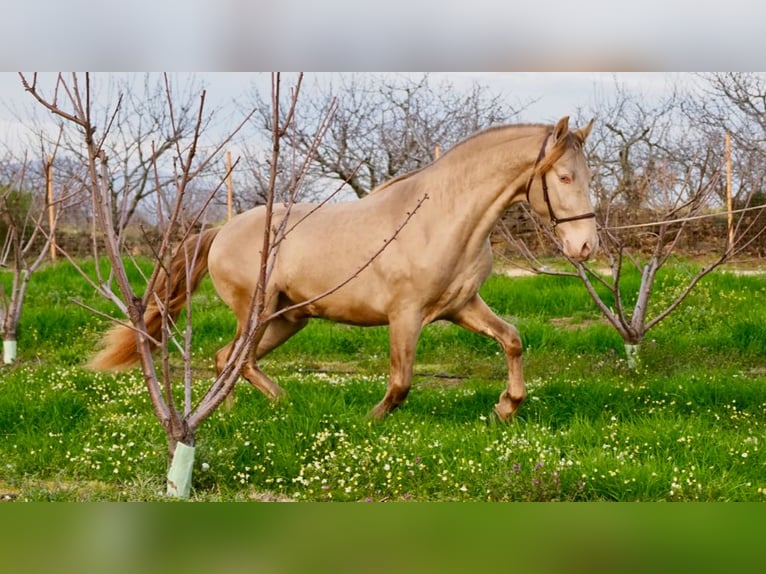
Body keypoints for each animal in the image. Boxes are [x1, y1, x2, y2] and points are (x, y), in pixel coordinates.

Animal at [90, 117, 600, 424]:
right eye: (564, 177)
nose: (585, 246)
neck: (443, 218)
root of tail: (221, 230)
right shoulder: (406, 315)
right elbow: (401, 381)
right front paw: (372, 420)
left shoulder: (462, 306)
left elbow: (512, 339)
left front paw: (506, 407)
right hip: (258, 311)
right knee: (239, 359)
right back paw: (285, 403)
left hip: (287, 319)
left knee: (226, 359)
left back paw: (232, 411)